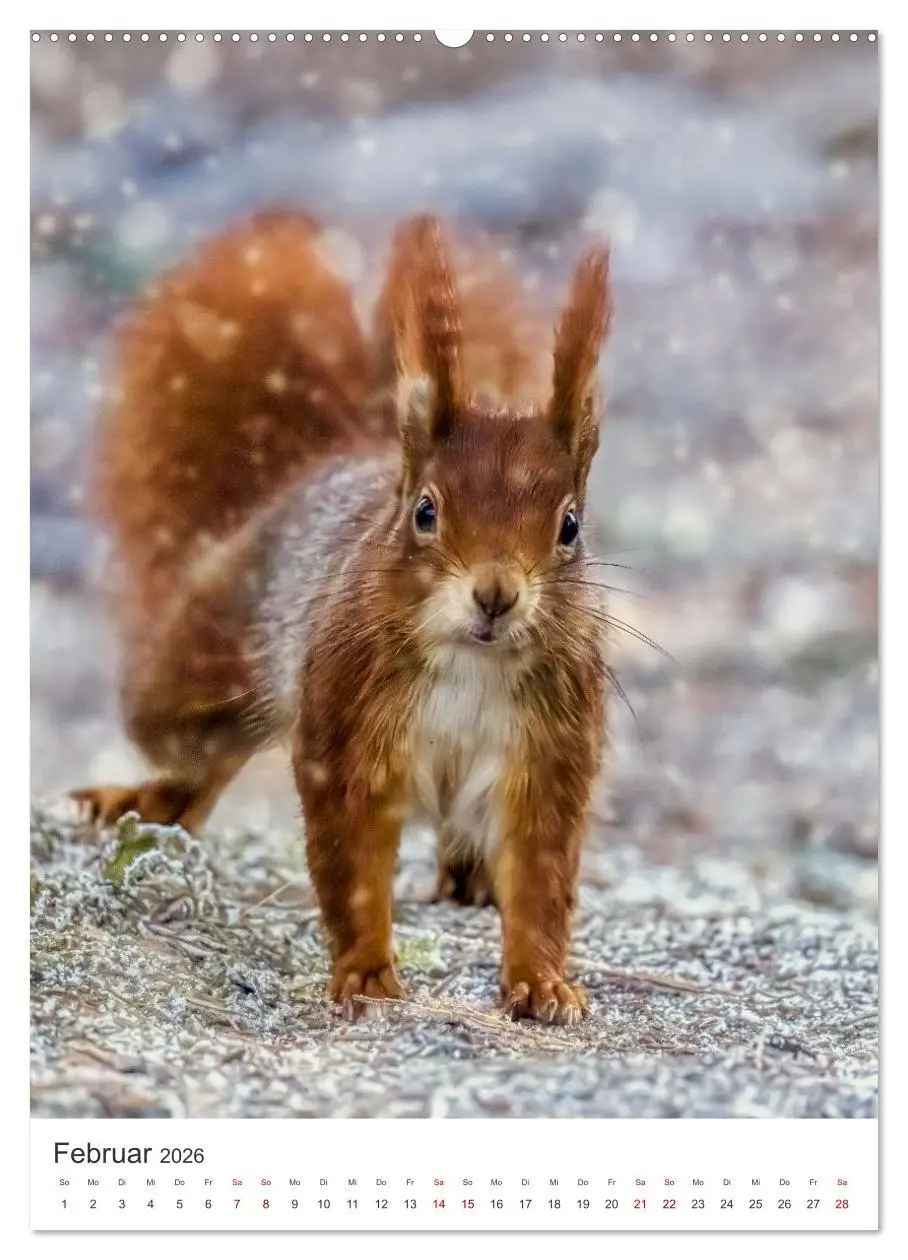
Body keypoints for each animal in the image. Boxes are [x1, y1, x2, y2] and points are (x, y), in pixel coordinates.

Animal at [72, 210, 613, 1025]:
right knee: (203, 752)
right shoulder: (345, 724)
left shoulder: (552, 746)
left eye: (571, 526)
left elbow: (542, 875)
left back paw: (470, 876)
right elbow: (351, 858)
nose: (495, 595)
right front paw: (365, 973)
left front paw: (542, 982)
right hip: (200, 669)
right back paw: (146, 801)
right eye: (425, 511)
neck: (472, 662)